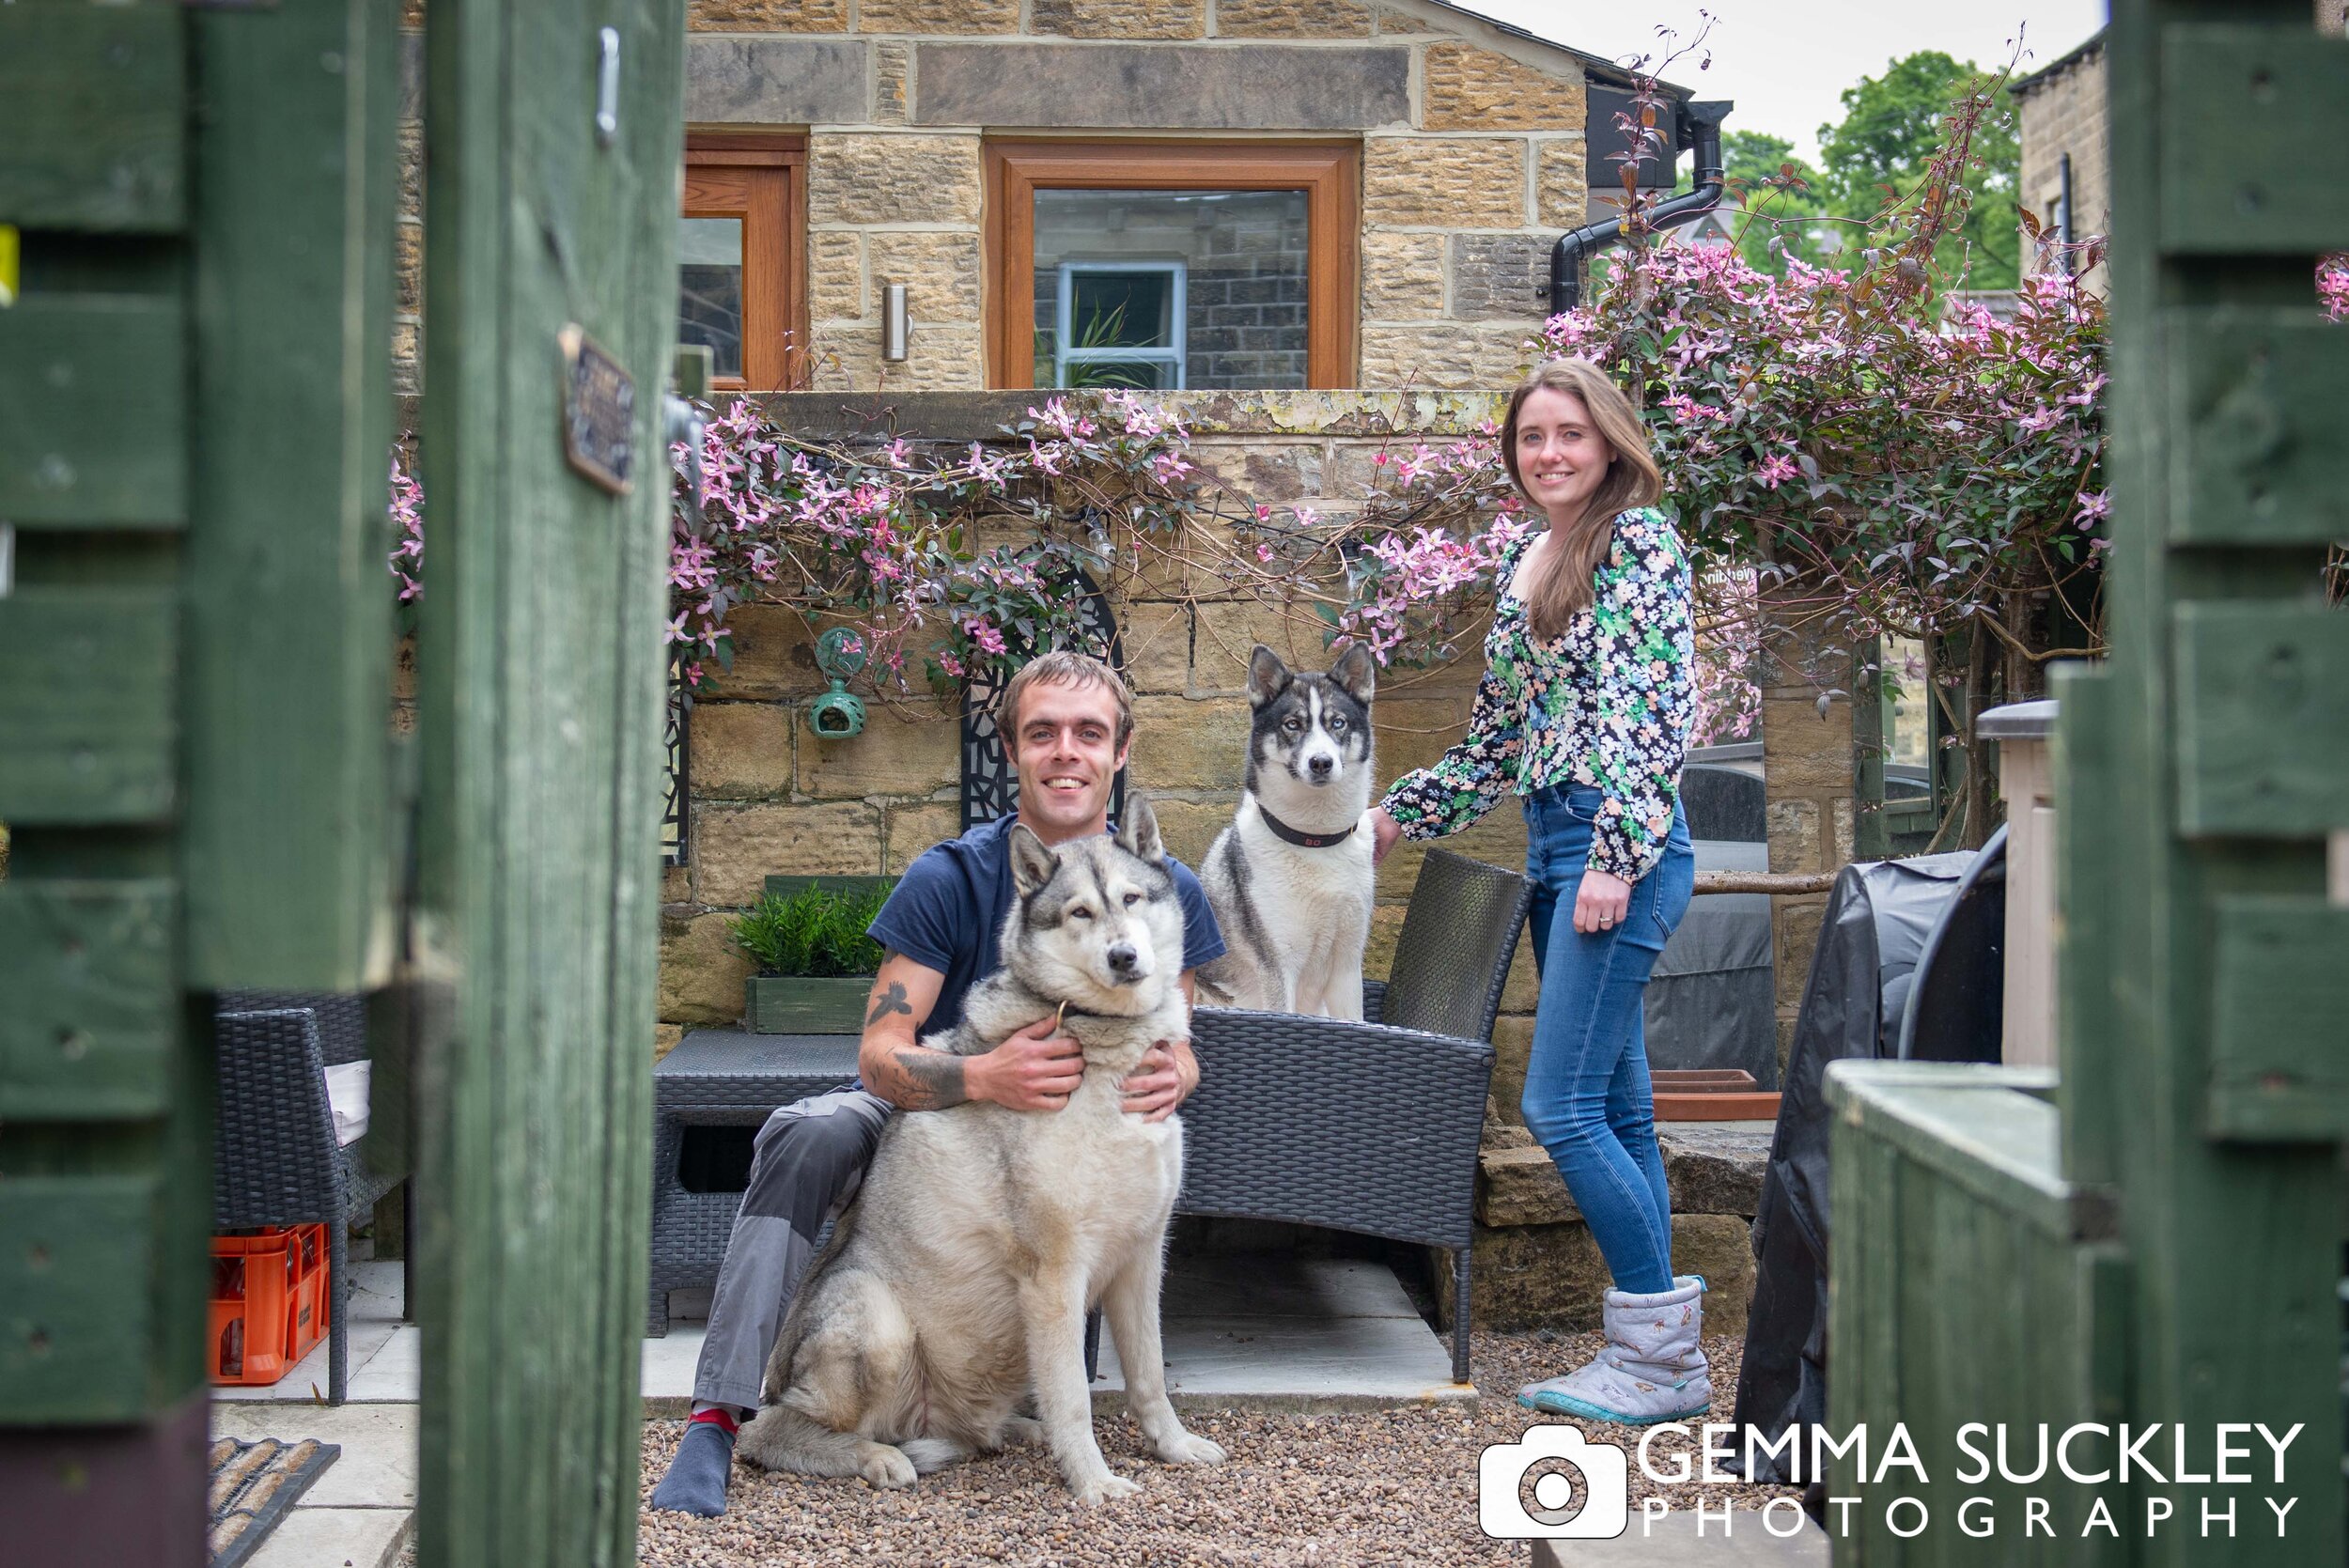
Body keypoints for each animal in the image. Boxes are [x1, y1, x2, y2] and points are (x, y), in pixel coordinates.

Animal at [742, 798, 1231, 1502]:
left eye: (1133, 898)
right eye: (1079, 912)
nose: (1124, 956)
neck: (1105, 1042)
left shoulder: (1142, 1255)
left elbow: (1149, 1377)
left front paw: (1173, 1446)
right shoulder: (1054, 1272)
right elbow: (1075, 1398)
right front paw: (1093, 1482)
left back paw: (1012, 1431)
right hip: (878, 1323)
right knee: (770, 1430)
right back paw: (873, 1456)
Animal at [1193, 647, 1372, 1023]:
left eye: (1338, 723)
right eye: (1293, 724)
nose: (1321, 762)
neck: (1314, 839)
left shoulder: (1347, 967)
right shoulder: (1278, 967)